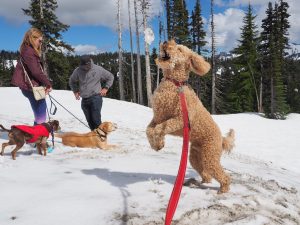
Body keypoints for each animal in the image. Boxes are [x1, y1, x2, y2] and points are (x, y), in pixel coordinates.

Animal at [146, 40, 236, 193]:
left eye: (180, 50)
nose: (165, 42)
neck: (175, 84)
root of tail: (221, 139)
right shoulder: (157, 116)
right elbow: (148, 130)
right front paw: (157, 145)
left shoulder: (179, 120)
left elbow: (158, 129)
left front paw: (158, 142)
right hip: (195, 157)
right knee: (207, 175)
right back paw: (196, 182)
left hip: (210, 156)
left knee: (222, 175)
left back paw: (223, 190)